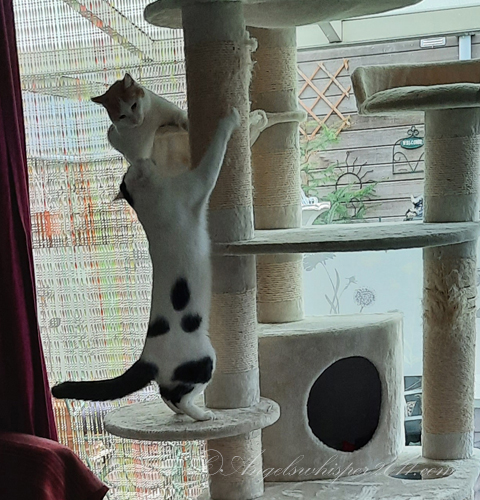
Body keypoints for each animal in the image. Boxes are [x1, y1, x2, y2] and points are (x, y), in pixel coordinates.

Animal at [52, 108, 241, 421]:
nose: (146, 159)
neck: (147, 205)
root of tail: (146, 358)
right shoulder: (198, 182)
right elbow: (215, 152)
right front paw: (234, 119)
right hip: (203, 357)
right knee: (177, 395)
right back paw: (202, 415)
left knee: (167, 392)